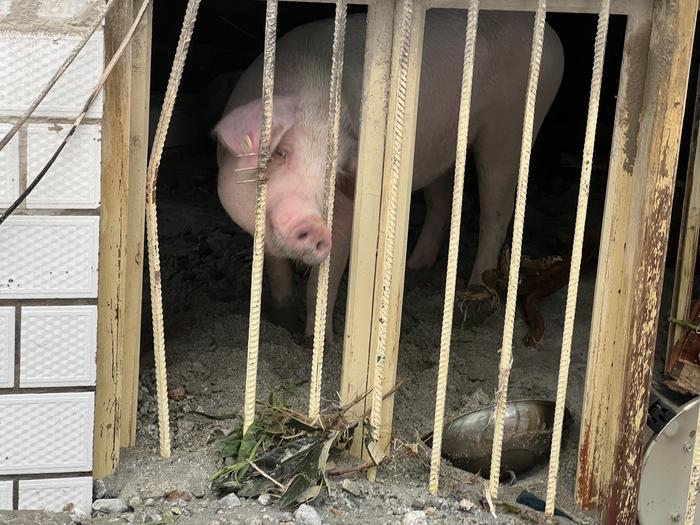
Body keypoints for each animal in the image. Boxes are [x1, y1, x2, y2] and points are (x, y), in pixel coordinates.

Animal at [213, 9, 564, 344]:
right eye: (280, 153)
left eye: (335, 175)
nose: (314, 224)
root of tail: (553, 38)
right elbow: (276, 270)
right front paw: (283, 321)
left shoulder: (345, 216)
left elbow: (322, 282)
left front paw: (315, 343)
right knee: (441, 204)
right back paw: (413, 269)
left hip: (509, 128)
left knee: (496, 211)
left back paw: (475, 298)